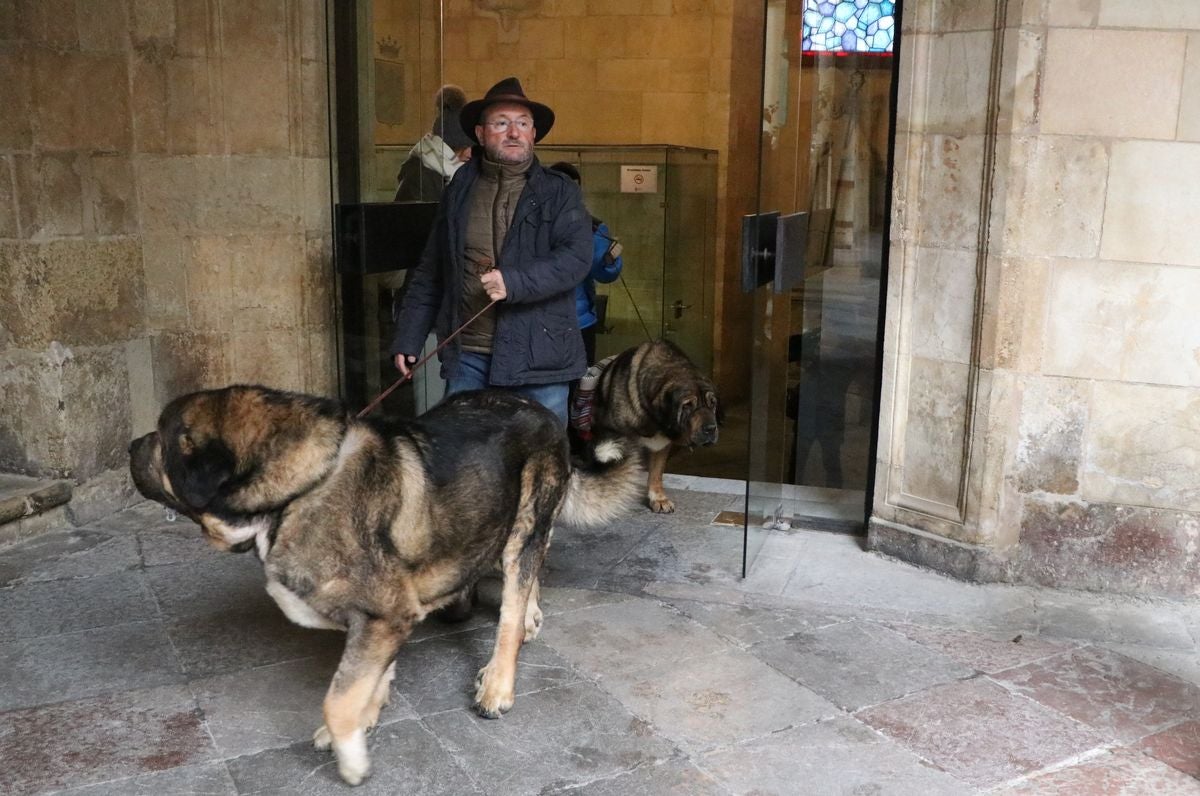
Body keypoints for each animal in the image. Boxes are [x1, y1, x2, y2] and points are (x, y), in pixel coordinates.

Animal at [580, 338, 720, 513]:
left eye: (712, 404)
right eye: (687, 406)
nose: (711, 429)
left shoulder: (661, 444)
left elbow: (656, 472)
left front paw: (658, 498)